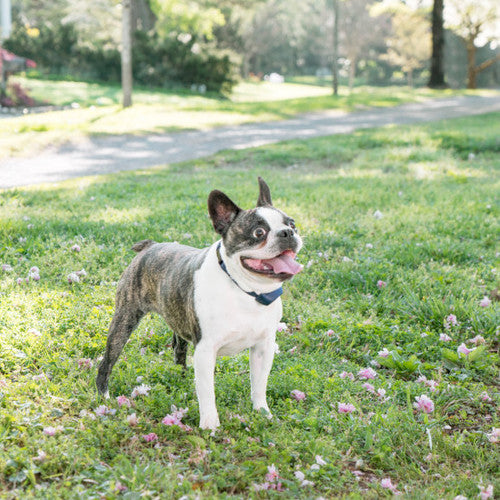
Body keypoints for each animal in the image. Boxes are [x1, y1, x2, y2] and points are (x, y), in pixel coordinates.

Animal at [96, 177, 302, 430]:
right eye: (259, 232)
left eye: (292, 224)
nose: (287, 233)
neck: (246, 290)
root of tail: (151, 245)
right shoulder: (205, 350)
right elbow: (207, 393)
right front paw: (210, 426)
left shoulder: (263, 347)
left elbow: (259, 384)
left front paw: (262, 413)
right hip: (124, 319)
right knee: (107, 361)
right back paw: (104, 397)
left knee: (178, 347)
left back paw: (182, 376)